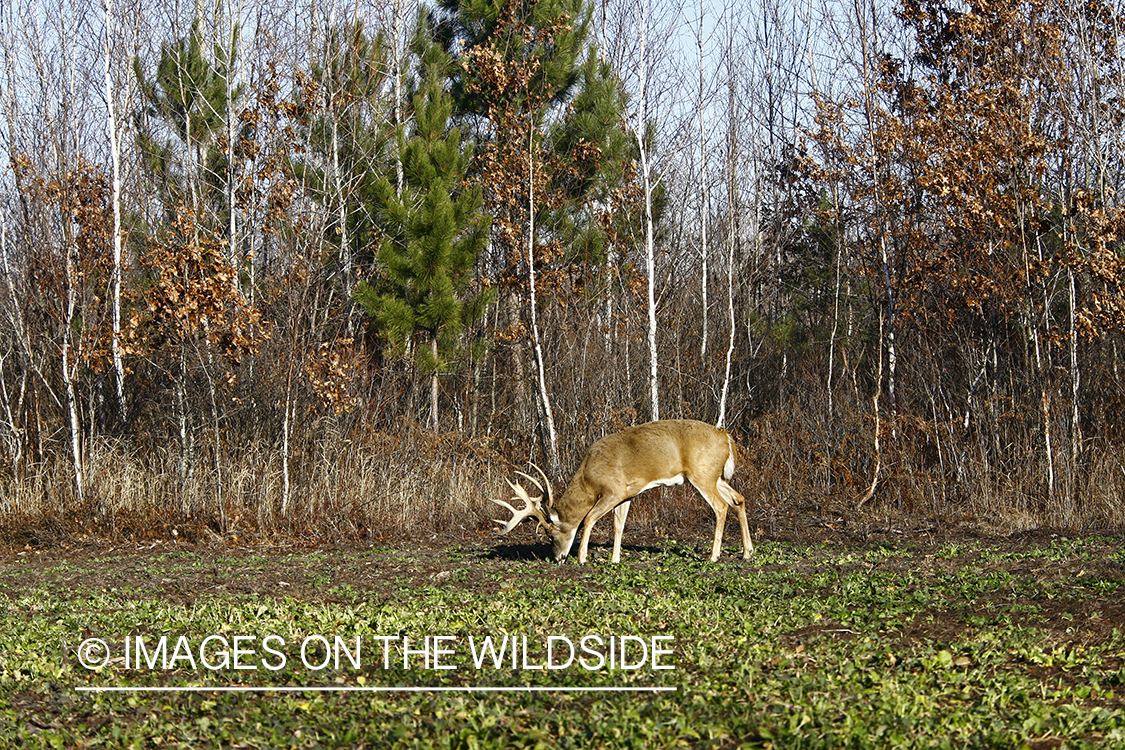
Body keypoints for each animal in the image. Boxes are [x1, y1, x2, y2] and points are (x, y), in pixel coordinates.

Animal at [488, 416, 751, 562]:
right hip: (716, 477)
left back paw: (714, 556)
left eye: (550, 535)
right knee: (739, 498)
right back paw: (747, 552)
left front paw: (582, 557)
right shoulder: (627, 494)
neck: (589, 475)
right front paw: (615, 559)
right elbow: (619, 525)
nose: (558, 558)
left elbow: (589, 518)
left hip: (702, 474)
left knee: (721, 506)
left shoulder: (612, 490)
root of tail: (726, 437)